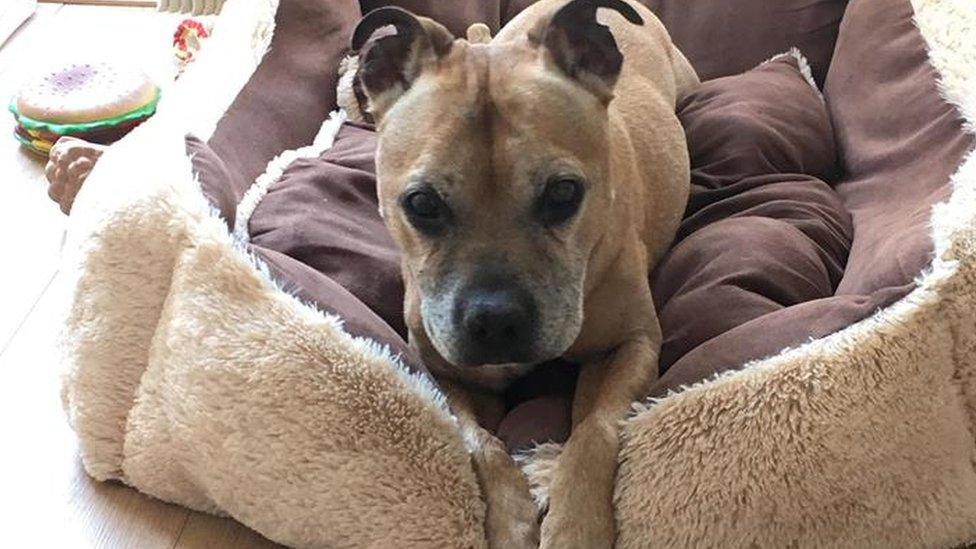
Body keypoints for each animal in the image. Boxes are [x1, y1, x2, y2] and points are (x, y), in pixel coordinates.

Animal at [354, 2, 696, 544]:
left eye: (563, 193)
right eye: (421, 204)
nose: (495, 320)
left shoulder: (633, 344)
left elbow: (597, 426)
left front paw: (576, 524)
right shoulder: (438, 368)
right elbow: (475, 438)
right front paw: (510, 519)